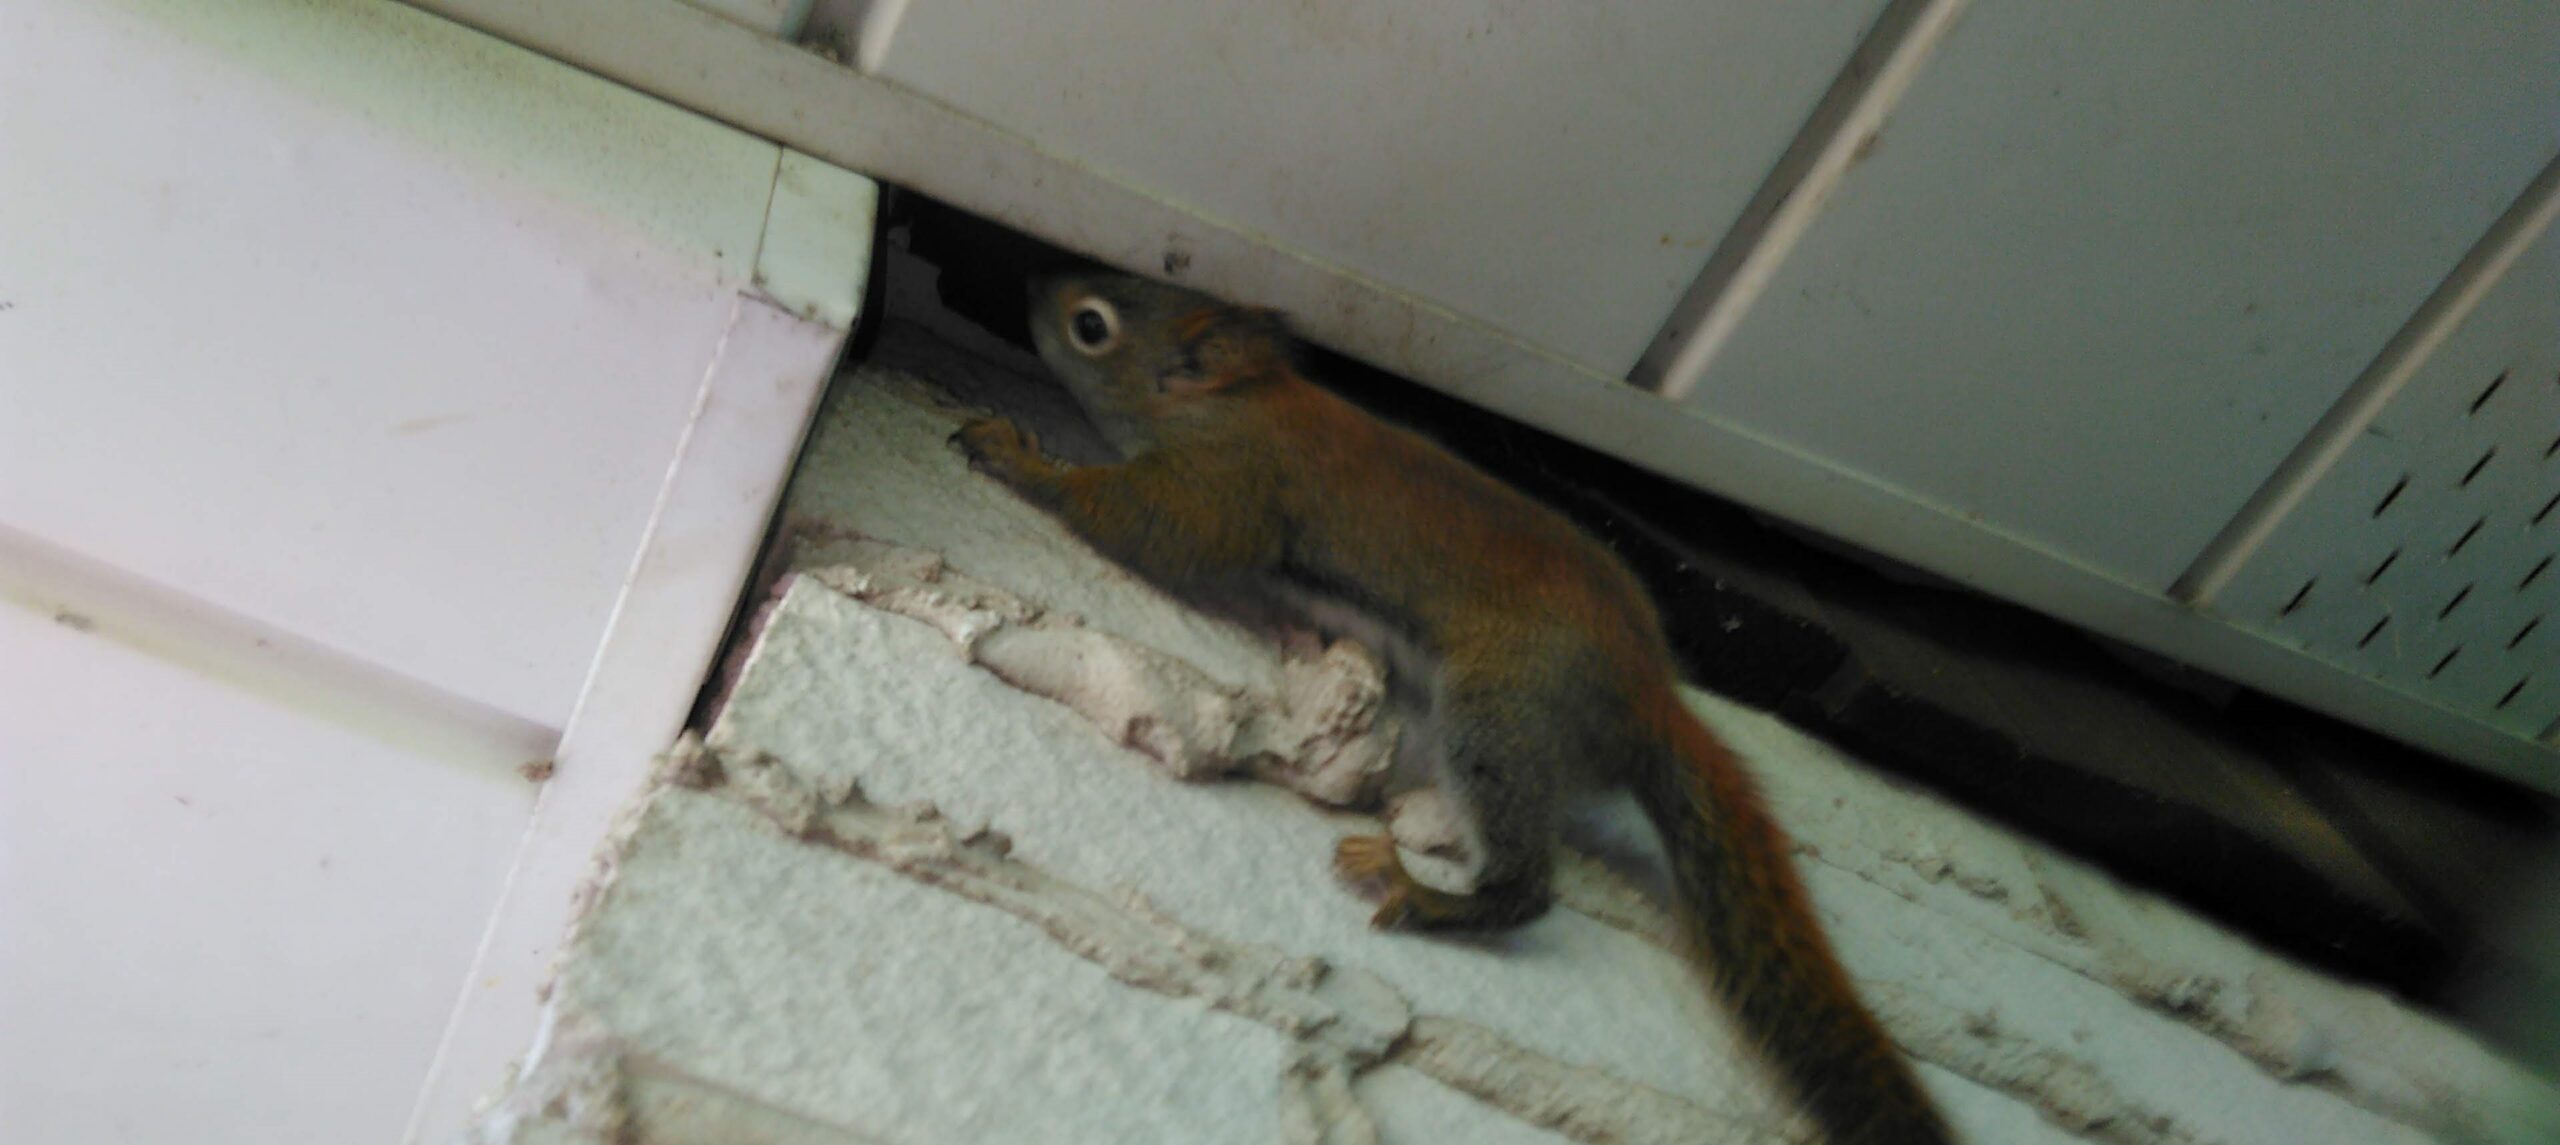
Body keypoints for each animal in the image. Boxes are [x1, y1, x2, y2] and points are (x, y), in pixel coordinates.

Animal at [954, 272, 1953, 1145]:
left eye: (1091, 323)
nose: (1031, 281)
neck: (1239, 399)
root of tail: (1649, 698)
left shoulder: (1231, 480)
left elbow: (1161, 529)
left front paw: (1024, 461)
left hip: (1497, 709)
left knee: (1528, 880)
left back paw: (1437, 895)